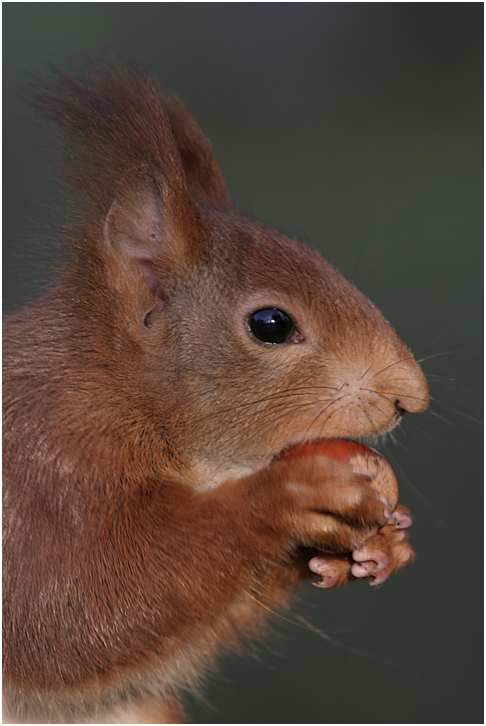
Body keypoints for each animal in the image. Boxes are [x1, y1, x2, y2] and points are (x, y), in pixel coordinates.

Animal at [3, 65, 430, 724]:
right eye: (271, 324)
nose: (410, 395)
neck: (120, 390)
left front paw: (383, 545)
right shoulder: (45, 469)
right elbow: (75, 608)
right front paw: (287, 495)